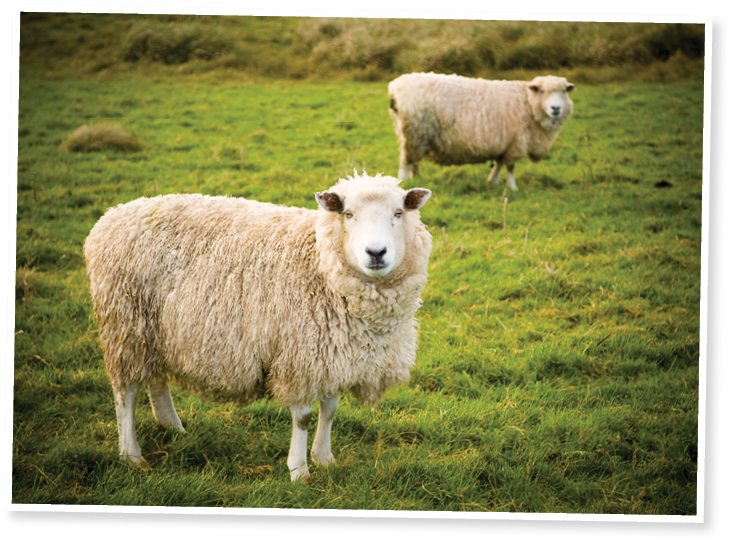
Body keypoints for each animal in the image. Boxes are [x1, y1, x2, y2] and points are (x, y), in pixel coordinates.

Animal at [83, 173, 433, 481]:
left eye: (398, 213)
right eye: (348, 214)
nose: (376, 253)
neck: (319, 261)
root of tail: (112, 216)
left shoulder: (332, 353)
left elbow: (330, 408)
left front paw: (324, 458)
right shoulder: (299, 354)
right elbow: (304, 417)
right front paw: (299, 470)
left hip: (156, 329)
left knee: (156, 379)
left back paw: (172, 426)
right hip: (125, 323)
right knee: (126, 393)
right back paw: (131, 454)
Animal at [388, 73, 576, 190]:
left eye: (563, 91)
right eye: (542, 91)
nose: (556, 109)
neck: (528, 103)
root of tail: (394, 88)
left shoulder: (504, 143)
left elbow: (499, 163)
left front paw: (493, 181)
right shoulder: (517, 143)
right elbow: (510, 167)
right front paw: (512, 187)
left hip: (416, 136)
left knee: (414, 161)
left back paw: (417, 179)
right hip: (413, 132)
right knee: (406, 163)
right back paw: (404, 182)